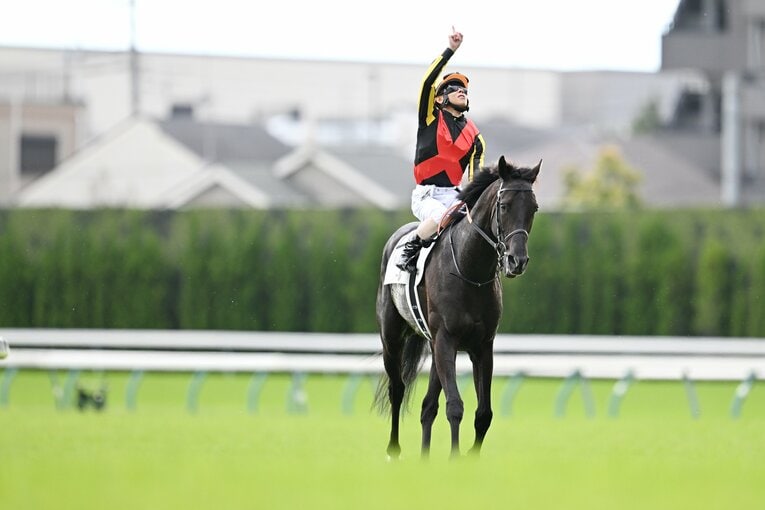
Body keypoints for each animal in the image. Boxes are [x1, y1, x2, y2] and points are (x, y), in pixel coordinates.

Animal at [374, 155, 541, 459]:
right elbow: (455, 406)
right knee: (397, 388)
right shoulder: (447, 339)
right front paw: (454, 458)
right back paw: (394, 449)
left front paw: (469, 458)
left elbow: (483, 413)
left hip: (435, 346)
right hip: (392, 337)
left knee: (428, 405)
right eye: (504, 205)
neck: (469, 268)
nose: (517, 261)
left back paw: (424, 456)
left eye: (533, 208)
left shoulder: (482, 346)